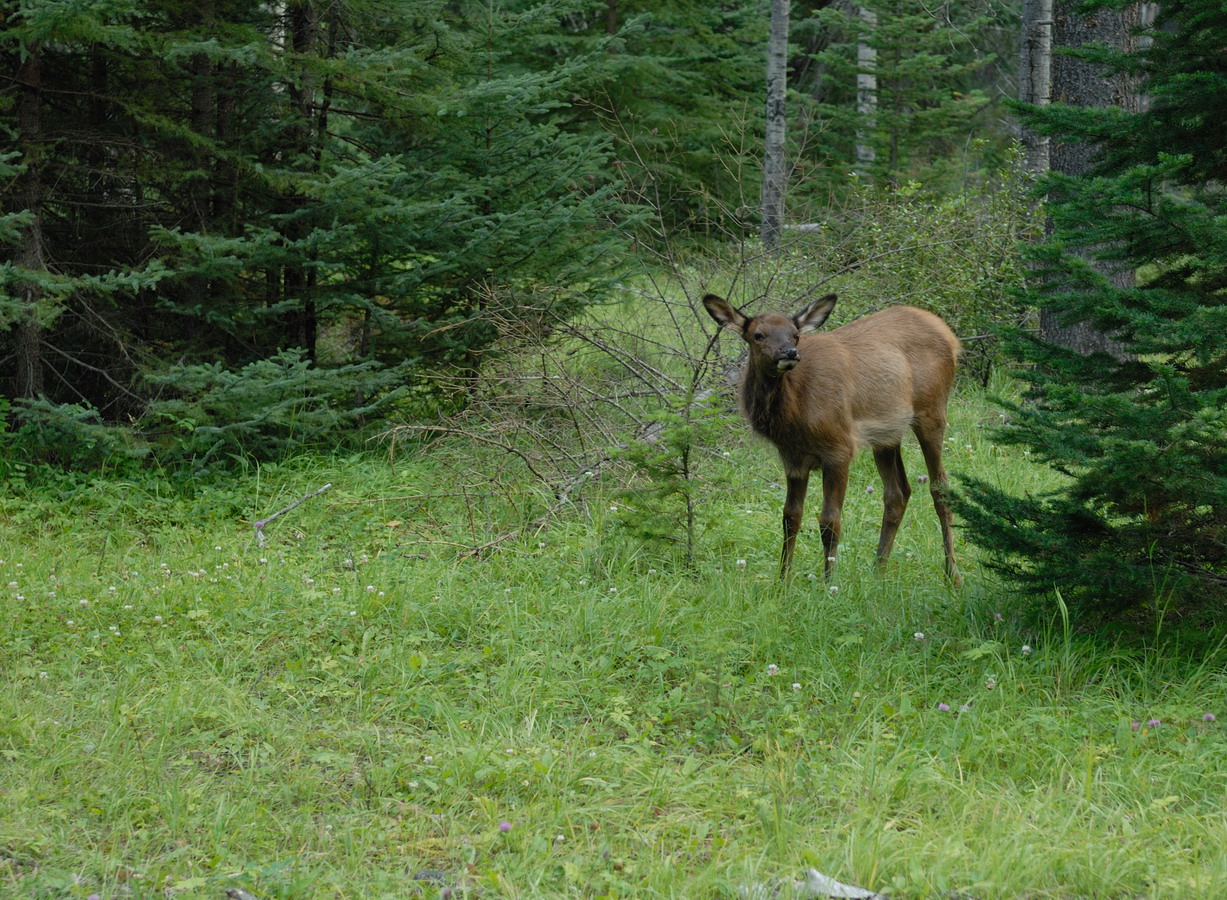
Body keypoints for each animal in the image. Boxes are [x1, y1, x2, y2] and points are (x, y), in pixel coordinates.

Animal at [706, 290, 961, 586]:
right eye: (758, 335)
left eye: (795, 335)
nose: (789, 352)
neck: (794, 414)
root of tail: (949, 335)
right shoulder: (792, 459)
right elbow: (790, 517)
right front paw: (782, 582)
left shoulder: (839, 448)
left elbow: (830, 521)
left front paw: (828, 584)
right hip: (887, 434)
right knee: (898, 493)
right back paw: (878, 572)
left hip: (932, 412)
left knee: (940, 488)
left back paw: (952, 576)